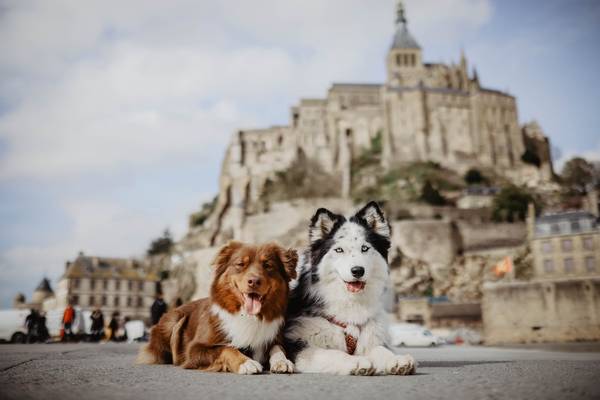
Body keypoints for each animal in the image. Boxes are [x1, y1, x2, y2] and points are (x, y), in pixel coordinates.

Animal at [135, 241, 296, 376]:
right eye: (240, 264)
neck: (246, 315)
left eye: (268, 265)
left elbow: (278, 348)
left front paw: (282, 361)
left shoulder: (274, 338)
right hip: (174, 321)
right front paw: (246, 362)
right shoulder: (194, 349)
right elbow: (226, 348)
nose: (254, 281)